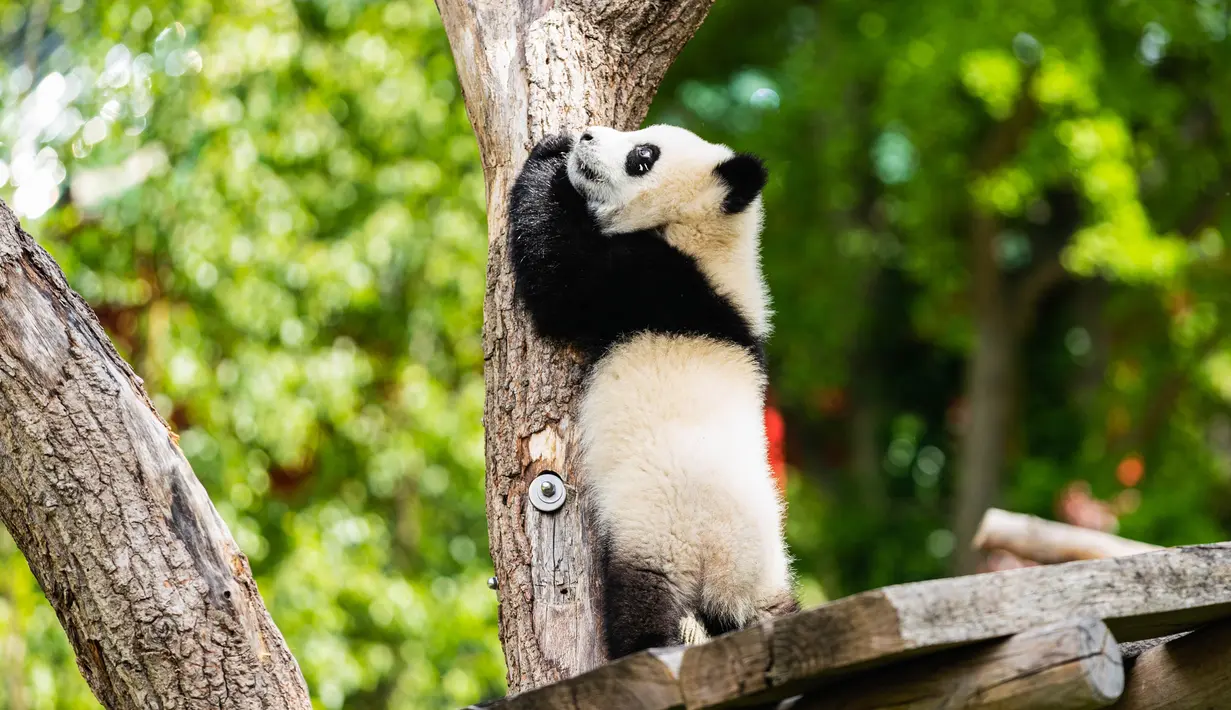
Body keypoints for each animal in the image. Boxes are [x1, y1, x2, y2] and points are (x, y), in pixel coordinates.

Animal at [507, 125, 797, 660]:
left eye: (643, 156)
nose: (586, 134)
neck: (708, 236)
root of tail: (722, 568)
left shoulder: (649, 283)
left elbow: (560, 281)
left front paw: (550, 158)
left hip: (657, 532)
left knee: (640, 605)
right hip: (767, 577)